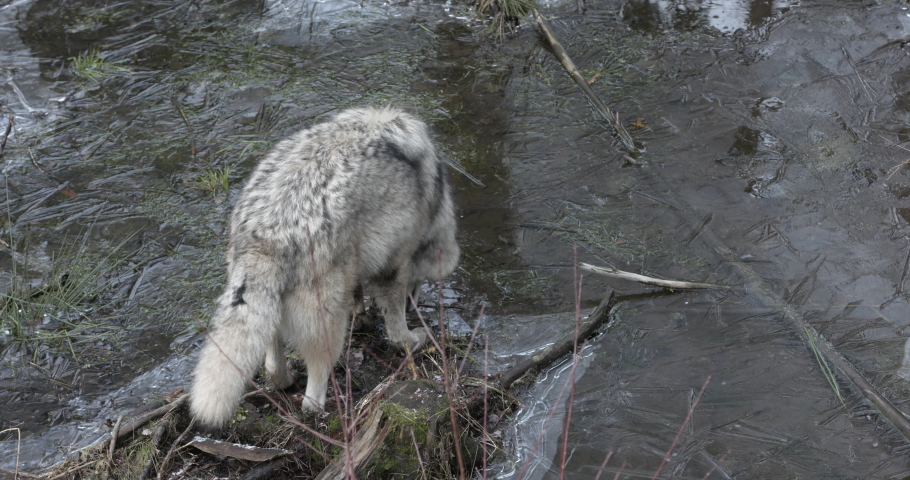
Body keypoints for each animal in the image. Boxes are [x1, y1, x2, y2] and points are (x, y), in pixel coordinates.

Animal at [190, 107, 460, 428]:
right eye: (417, 287)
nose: (413, 304)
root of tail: (268, 232)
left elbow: (359, 295)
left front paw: (363, 313)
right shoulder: (394, 265)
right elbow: (395, 328)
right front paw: (409, 339)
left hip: (268, 311)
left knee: (273, 368)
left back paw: (286, 382)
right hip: (328, 327)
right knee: (312, 397)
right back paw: (329, 412)